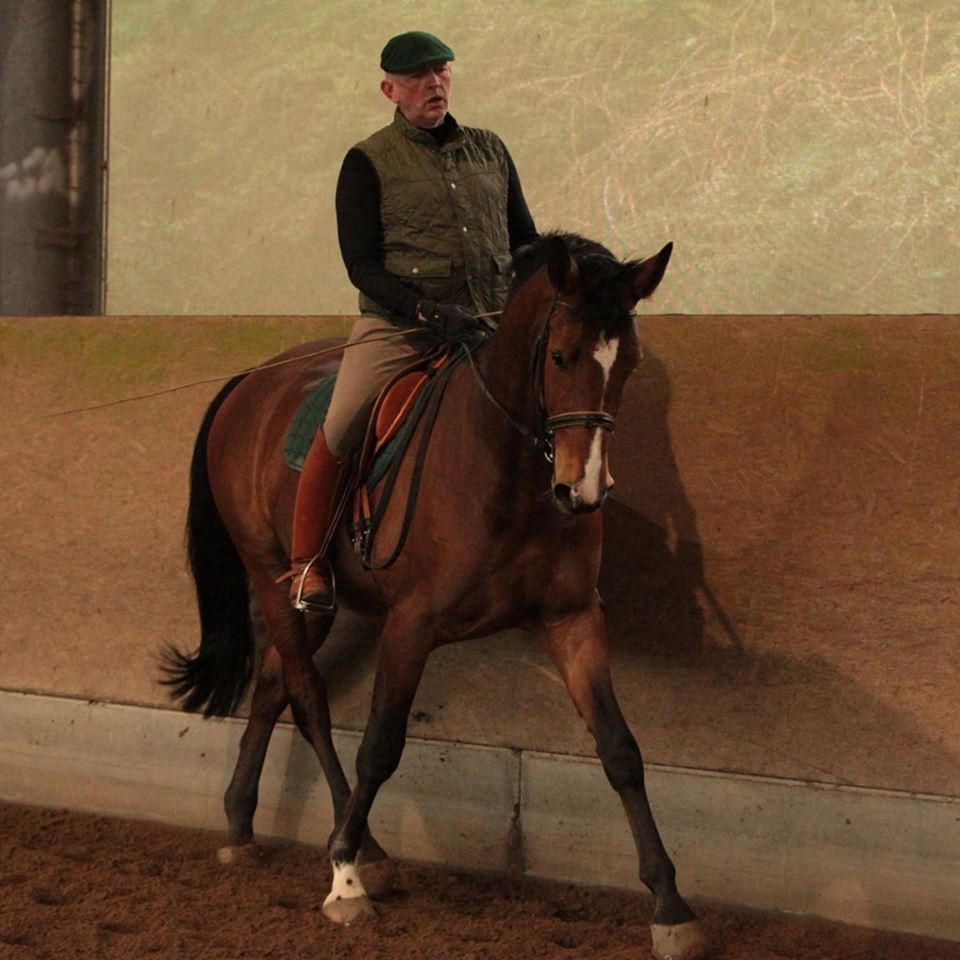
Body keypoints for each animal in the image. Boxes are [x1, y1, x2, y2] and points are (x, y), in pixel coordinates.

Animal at [163, 232, 704, 960]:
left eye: (630, 364)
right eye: (560, 356)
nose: (583, 491)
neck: (506, 469)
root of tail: (252, 382)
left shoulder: (572, 618)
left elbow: (620, 750)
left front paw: (671, 907)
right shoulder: (411, 624)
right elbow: (380, 746)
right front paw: (344, 885)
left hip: (313, 603)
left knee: (275, 684)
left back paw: (242, 827)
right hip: (271, 571)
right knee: (307, 697)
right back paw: (358, 852)